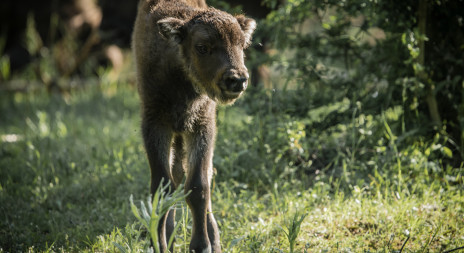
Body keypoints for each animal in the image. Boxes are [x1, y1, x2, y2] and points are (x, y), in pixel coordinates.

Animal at [132, 0, 256, 253]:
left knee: (200, 176)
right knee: (175, 176)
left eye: (241, 45)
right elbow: (162, 187)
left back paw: (214, 239)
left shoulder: (202, 125)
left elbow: (199, 187)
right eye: (202, 47)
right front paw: (158, 244)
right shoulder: (155, 125)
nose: (237, 79)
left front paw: (202, 245)